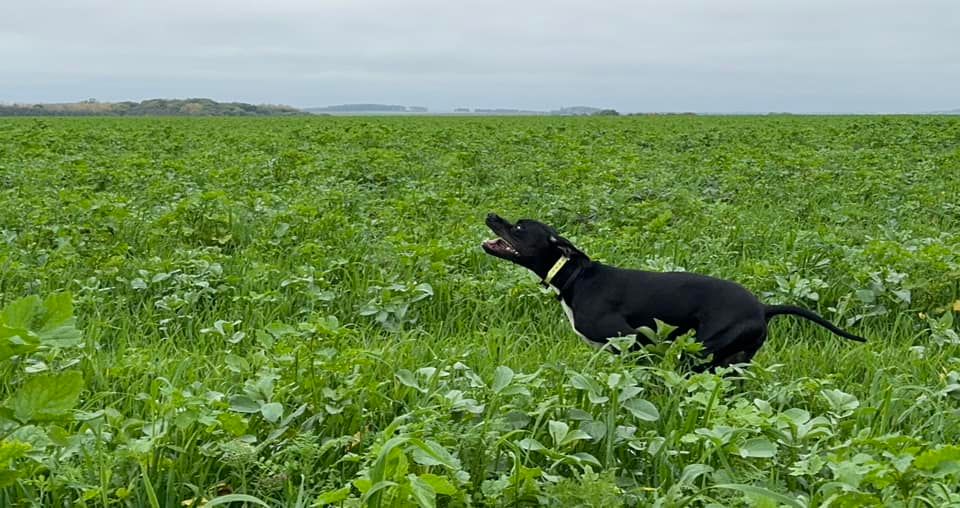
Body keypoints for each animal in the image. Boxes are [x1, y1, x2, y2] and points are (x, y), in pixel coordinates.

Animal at [484, 212, 868, 372]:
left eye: (519, 228)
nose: (491, 215)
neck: (573, 277)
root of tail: (763, 306)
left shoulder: (630, 338)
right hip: (734, 361)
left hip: (701, 352)